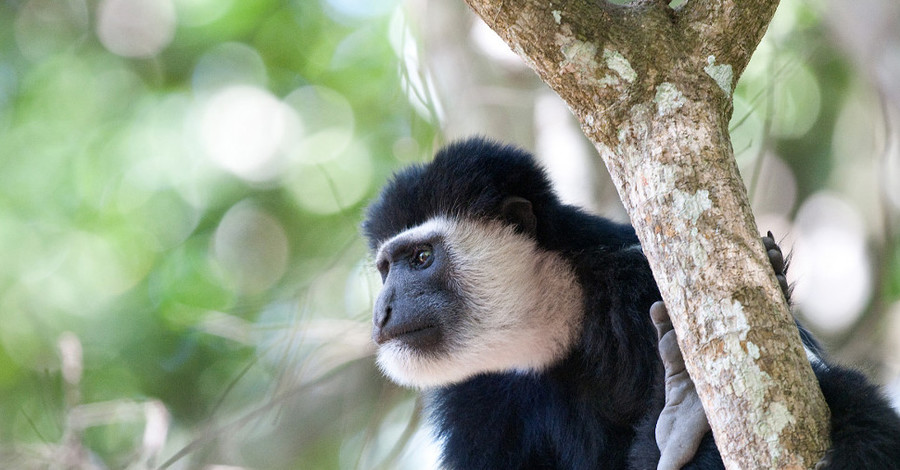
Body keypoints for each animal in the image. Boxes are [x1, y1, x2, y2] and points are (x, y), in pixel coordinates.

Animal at [360, 139, 900, 470]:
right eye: (385, 269)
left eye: (422, 258)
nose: (382, 312)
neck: (558, 324)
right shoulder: (475, 400)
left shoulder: (639, 289)